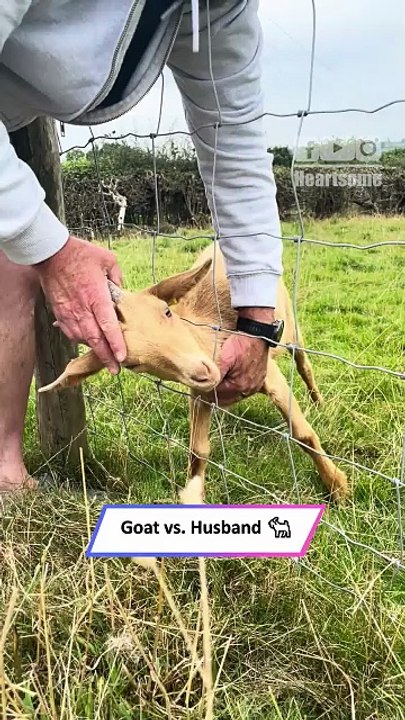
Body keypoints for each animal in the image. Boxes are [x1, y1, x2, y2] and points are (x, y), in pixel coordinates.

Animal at [40, 245, 348, 501]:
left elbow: (302, 433)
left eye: (166, 312)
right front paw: (193, 494)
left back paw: (318, 403)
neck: (210, 335)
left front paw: (338, 487)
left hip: (291, 329)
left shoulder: (267, 374)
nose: (204, 371)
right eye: (133, 363)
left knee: (304, 364)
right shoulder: (200, 395)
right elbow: (198, 451)